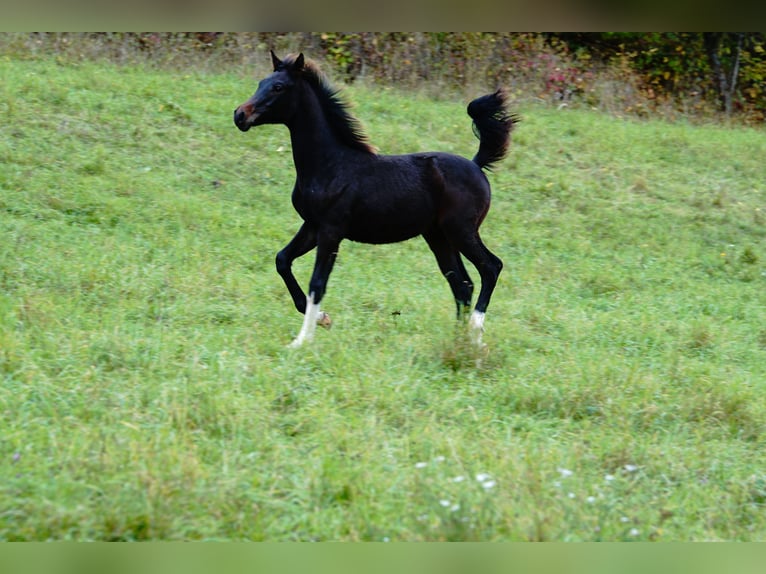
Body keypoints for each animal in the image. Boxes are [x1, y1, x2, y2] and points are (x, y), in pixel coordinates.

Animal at [233, 51, 517, 348]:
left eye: (278, 87)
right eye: (261, 82)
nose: (240, 115)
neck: (330, 164)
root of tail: (476, 165)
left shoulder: (331, 231)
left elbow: (317, 283)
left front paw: (302, 341)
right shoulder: (311, 226)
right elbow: (282, 260)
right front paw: (323, 319)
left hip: (461, 230)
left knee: (490, 267)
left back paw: (475, 334)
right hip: (438, 236)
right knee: (462, 284)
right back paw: (459, 343)